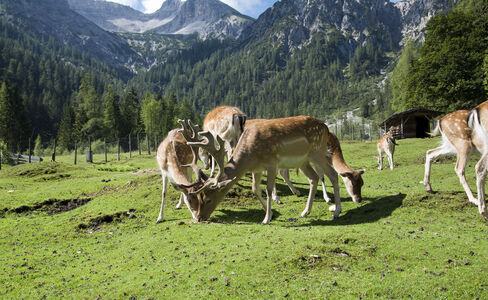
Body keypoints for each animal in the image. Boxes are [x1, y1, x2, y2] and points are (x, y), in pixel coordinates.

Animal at [177, 116, 364, 224]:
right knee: (314, 178)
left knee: (332, 174)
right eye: (199, 198)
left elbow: (267, 189)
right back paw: (305, 212)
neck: (251, 154)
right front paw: (271, 214)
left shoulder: (272, 163)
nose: (199, 218)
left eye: (208, 199)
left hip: (317, 152)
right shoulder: (256, 169)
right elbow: (255, 189)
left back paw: (336, 211)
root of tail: (326, 127)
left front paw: (266, 218)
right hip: (304, 160)